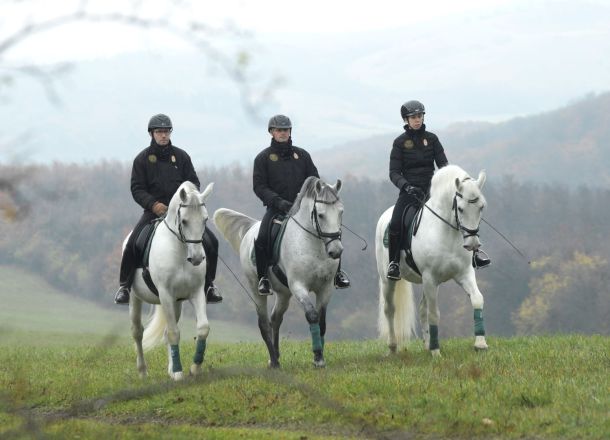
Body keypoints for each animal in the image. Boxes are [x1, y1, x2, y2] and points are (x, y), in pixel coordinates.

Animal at [124, 180, 213, 380]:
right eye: (184, 221)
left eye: (205, 219)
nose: (197, 258)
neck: (180, 251)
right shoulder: (165, 294)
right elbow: (173, 333)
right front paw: (179, 374)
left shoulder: (196, 292)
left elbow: (203, 328)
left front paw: (194, 368)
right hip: (135, 298)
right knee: (137, 332)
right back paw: (143, 371)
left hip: (176, 302)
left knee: (165, 333)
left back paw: (171, 370)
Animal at [214, 176, 342, 368]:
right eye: (321, 215)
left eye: (341, 212)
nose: (336, 251)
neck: (313, 246)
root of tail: (252, 227)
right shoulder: (298, 286)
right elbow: (312, 316)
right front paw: (318, 357)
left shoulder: (326, 288)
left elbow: (321, 322)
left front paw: (318, 357)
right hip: (257, 289)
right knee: (264, 323)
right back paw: (274, 361)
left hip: (283, 293)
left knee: (275, 319)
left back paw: (276, 354)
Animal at [372, 166, 486, 358]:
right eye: (461, 209)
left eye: (481, 207)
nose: (473, 244)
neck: (446, 231)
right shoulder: (430, 278)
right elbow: (434, 314)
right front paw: (436, 352)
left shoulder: (464, 273)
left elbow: (477, 299)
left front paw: (480, 343)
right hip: (389, 280)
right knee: (390, 309)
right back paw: (393, 347)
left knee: (421, 309)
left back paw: (426, 344)